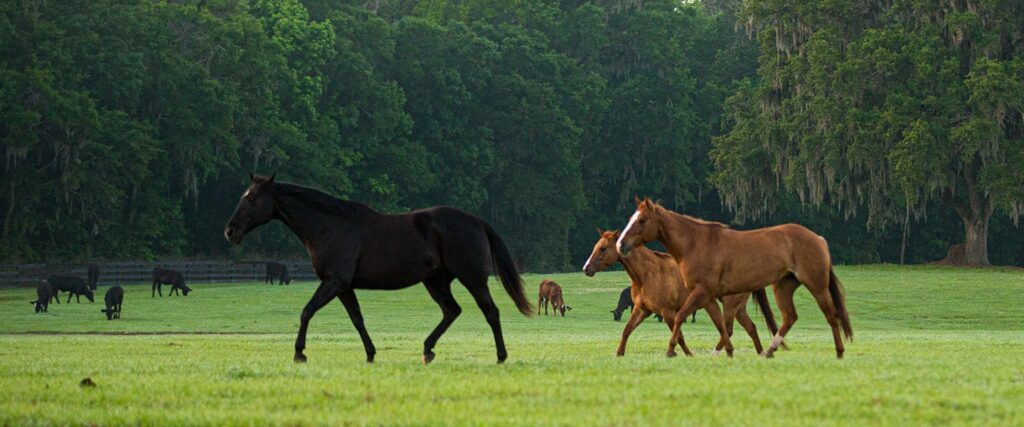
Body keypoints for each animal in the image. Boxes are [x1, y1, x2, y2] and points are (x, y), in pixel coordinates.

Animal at [224, 174, 532, 364]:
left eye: (251, 199)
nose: (230, 231)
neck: (330, 226)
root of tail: (476, 221)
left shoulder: (334, 283)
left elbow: (307, 311)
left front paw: (299, 353)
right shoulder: (344, 287)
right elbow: (357, 319)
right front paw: (371, 354)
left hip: (473, 279)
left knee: (490, 312)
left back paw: (501, 356)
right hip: (436, 282)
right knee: (452, 311)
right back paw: (427, 349)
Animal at [584, 229, 779, 356]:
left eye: (602, 248)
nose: (586, 268)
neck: (647, 274)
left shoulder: (668, 312)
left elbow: (679, 336)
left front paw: (686, 354)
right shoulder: (642, 310)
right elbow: (626, 330)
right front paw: (619, 353)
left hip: (730, 305)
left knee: (728, 329)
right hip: (735, 308)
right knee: (750, 328)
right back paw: (761, 353)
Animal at [616, 198, 852, 358]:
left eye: (642, 220)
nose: (621, 244)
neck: (695, 243)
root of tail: (817, 238)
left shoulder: (701, 293)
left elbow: (681, 317)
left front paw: (671, 350)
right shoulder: (707, 296)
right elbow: (720, 325)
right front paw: (727, 352)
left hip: (816, 285)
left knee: (831, 315)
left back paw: (839, 352)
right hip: (782, 287)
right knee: (790, 317)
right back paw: (769, 351)